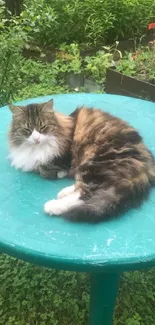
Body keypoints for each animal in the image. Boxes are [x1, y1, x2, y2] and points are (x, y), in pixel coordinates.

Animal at [8, 98, 155, 221]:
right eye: (27, 129)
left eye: (43, 128)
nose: (36, 139)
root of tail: (147, 165)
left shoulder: (62, 159)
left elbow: (45, 170)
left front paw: (57, 173)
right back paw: (64, 192)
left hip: (95, 163)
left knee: (85, 193)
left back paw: (53, 206)